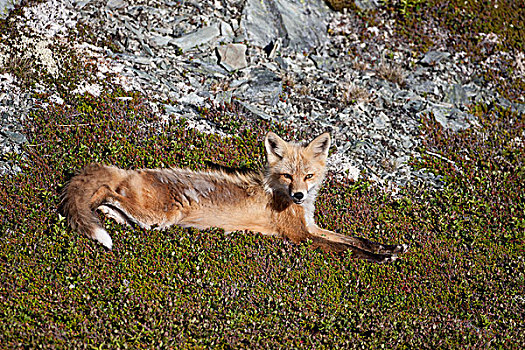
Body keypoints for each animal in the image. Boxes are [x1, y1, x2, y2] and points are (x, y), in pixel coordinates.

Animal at [60, 132, 406, 262]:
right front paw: (382, 258)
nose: (298, 194)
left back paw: (111, 216)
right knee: (104, 192)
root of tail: (128, 170)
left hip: (154, 220)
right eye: (287, 175)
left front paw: (389, 247)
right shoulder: (299, 237)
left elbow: (355, 239)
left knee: (113, 202)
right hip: (161, 216)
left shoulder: (311, 227)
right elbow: (348, 250)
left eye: (308, 176)